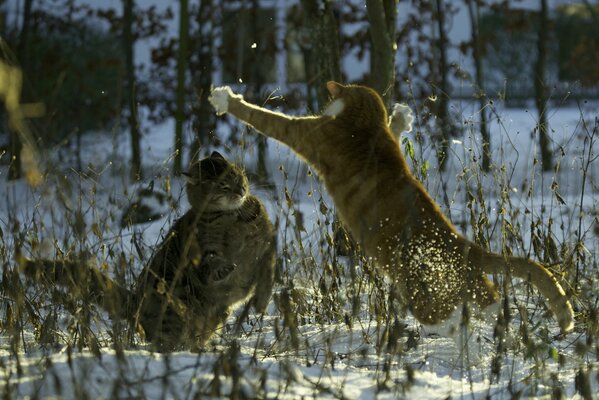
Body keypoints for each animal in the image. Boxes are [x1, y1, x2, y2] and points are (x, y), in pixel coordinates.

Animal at [19, 152, 278, 352]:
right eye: (222, 185)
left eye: (237, 175)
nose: (241, 189)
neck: (232, 217)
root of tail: (134, 303)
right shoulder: (204, 250)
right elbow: (213, 261)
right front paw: (224, 269)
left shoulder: (267, 245)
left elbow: (267, 273)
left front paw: (262, 300)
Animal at [210, 79, 576, 332]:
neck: (367, 123)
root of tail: (467, 246)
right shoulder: (388, 140)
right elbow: (397, 131)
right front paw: (402, 115)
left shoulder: (307, 133)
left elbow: (263, 117)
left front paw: (226, 98)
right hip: (466, 285)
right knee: (490, 300)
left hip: (418, 287)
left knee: (442, 314)